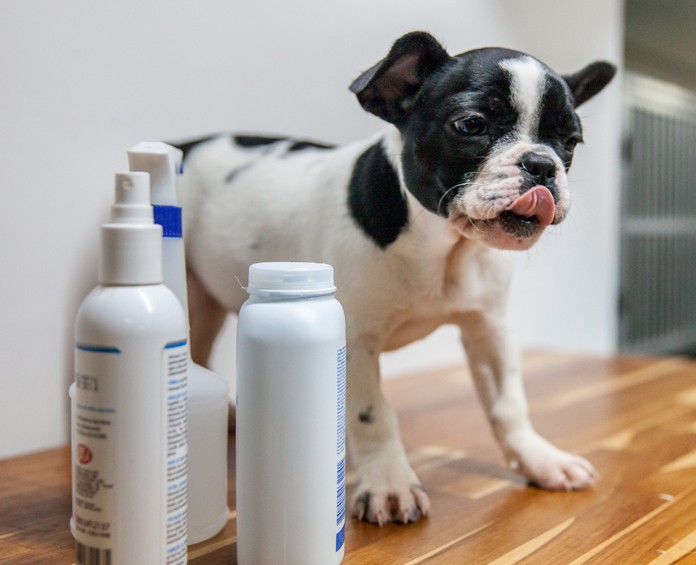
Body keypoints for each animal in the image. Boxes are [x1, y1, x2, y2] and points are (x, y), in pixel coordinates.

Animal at [175, 30, 616, 524]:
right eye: (471, 125)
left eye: (571, 142)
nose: (541, 164)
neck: (443, 247)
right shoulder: (356, 341)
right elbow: (373, 414)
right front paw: (389, 485)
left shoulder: (489, 329)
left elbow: (509, 403)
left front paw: (540, 460)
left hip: (205, 302)